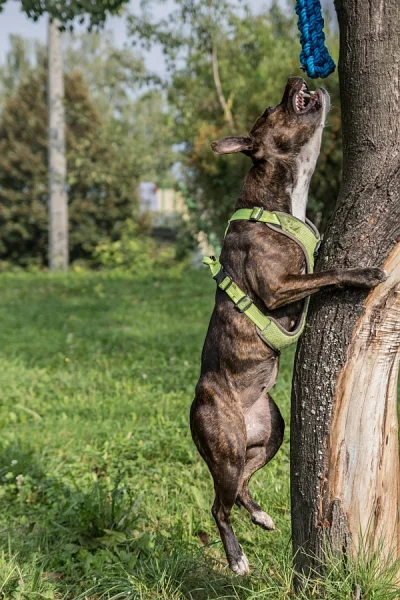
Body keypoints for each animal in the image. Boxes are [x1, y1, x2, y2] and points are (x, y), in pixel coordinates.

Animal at [191, 77, 388, 576]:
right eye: (269, 109)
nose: (295, 79)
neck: (278, 203)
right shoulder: (279, 287)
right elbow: (328, 273)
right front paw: (363, 274)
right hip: (225, 444)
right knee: (218, 505)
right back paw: (237, 557)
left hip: (272, 432)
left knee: (243, 485)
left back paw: (260, 515)